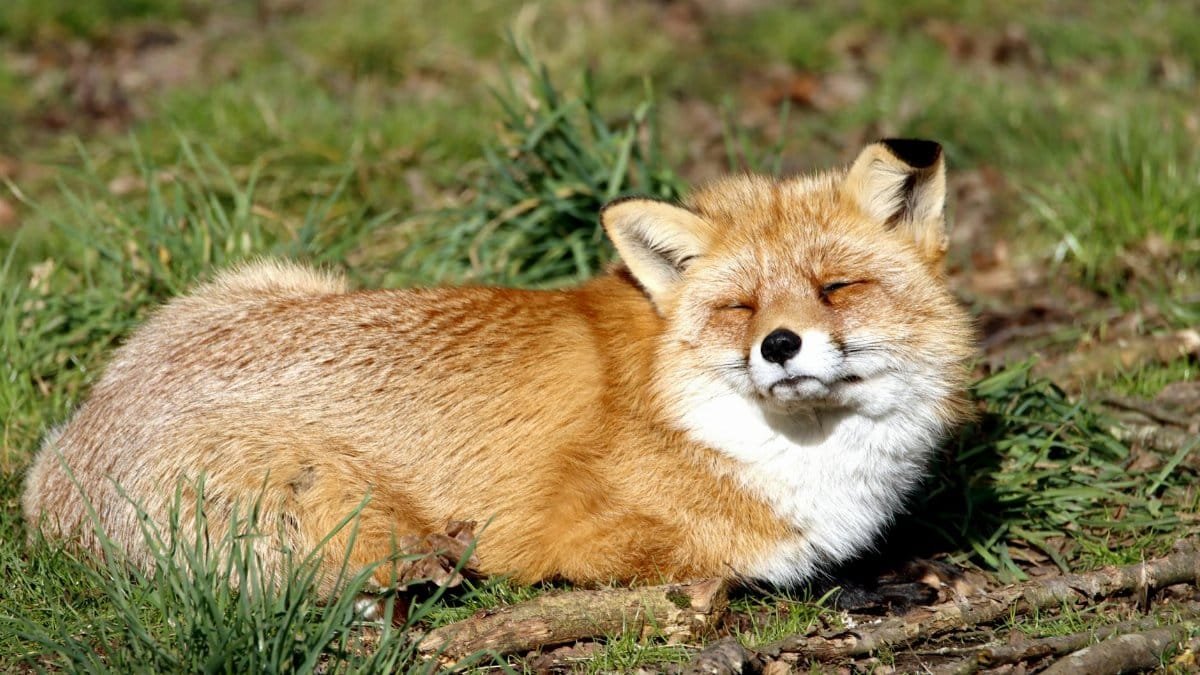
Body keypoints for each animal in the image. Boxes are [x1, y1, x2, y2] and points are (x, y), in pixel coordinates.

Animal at [22, 139, 974, 594]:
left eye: (835, 286)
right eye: (740, 308)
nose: (779, 345)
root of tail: (59, 459)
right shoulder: (595, 540)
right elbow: (769, 570)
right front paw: (874, 583)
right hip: (359, 519)